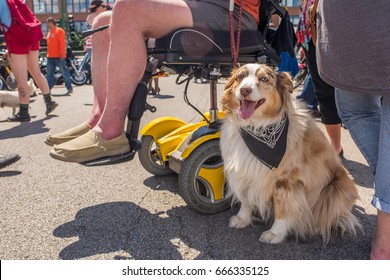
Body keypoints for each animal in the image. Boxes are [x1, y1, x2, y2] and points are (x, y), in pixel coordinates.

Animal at [221, 63, 362, 243]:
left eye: (264, 79)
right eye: (240, 77)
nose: (245, 90)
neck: (257, 127)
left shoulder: (287, 180)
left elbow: (283, 208)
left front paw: (275, 233)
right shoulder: (246, 172)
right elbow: (246, 198)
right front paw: (243, 218)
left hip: (337, 188)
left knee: (331, 214)